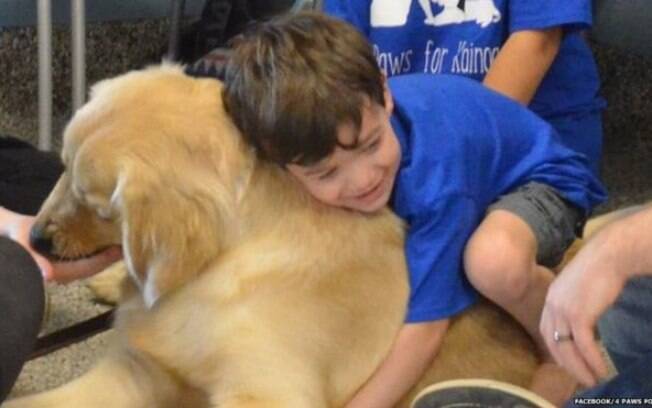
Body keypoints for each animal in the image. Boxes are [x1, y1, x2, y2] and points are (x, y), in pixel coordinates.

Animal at [3, 65, 540, 406]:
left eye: (97, 206)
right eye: (62, 165)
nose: (37, 239)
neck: (230, 259)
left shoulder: (268, 389)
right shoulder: (138, 368)